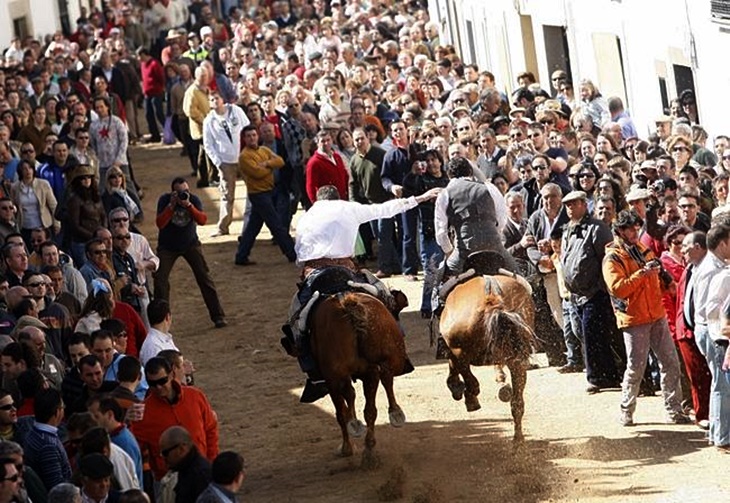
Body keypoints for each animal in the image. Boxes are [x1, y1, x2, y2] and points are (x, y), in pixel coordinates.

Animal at [308, 292, 410, 468]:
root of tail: (349, 303)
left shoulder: (331, 380)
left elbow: (341, 410)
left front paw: (346, 448)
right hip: (376, 367)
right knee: (375, 399)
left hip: (335, 376)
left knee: (347, 404)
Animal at [438, 274, 536, 442]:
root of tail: (491, 299)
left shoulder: (455, 350)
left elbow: (458, 371)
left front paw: (457, 387)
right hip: (517, 360)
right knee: (517, 403)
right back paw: (518, 439)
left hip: (459, 350)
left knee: (470, 378)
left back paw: (471, 397)